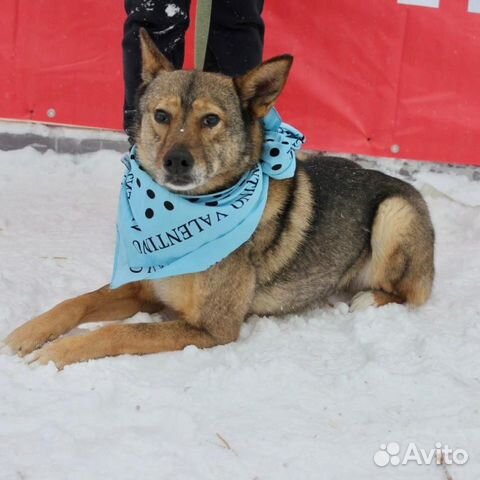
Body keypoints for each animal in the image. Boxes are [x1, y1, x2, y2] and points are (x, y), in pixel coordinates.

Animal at [0, 30, 436, 368]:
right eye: (161, 115)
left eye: (210, 120)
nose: (176, 161)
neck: (183, 212)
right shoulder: (144, 290)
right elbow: (75, 303)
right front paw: (27, 333)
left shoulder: (211, 328)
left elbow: (116, 333)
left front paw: (59, 351)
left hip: (393, 214)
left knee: (411, 294)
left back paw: (367, 299)